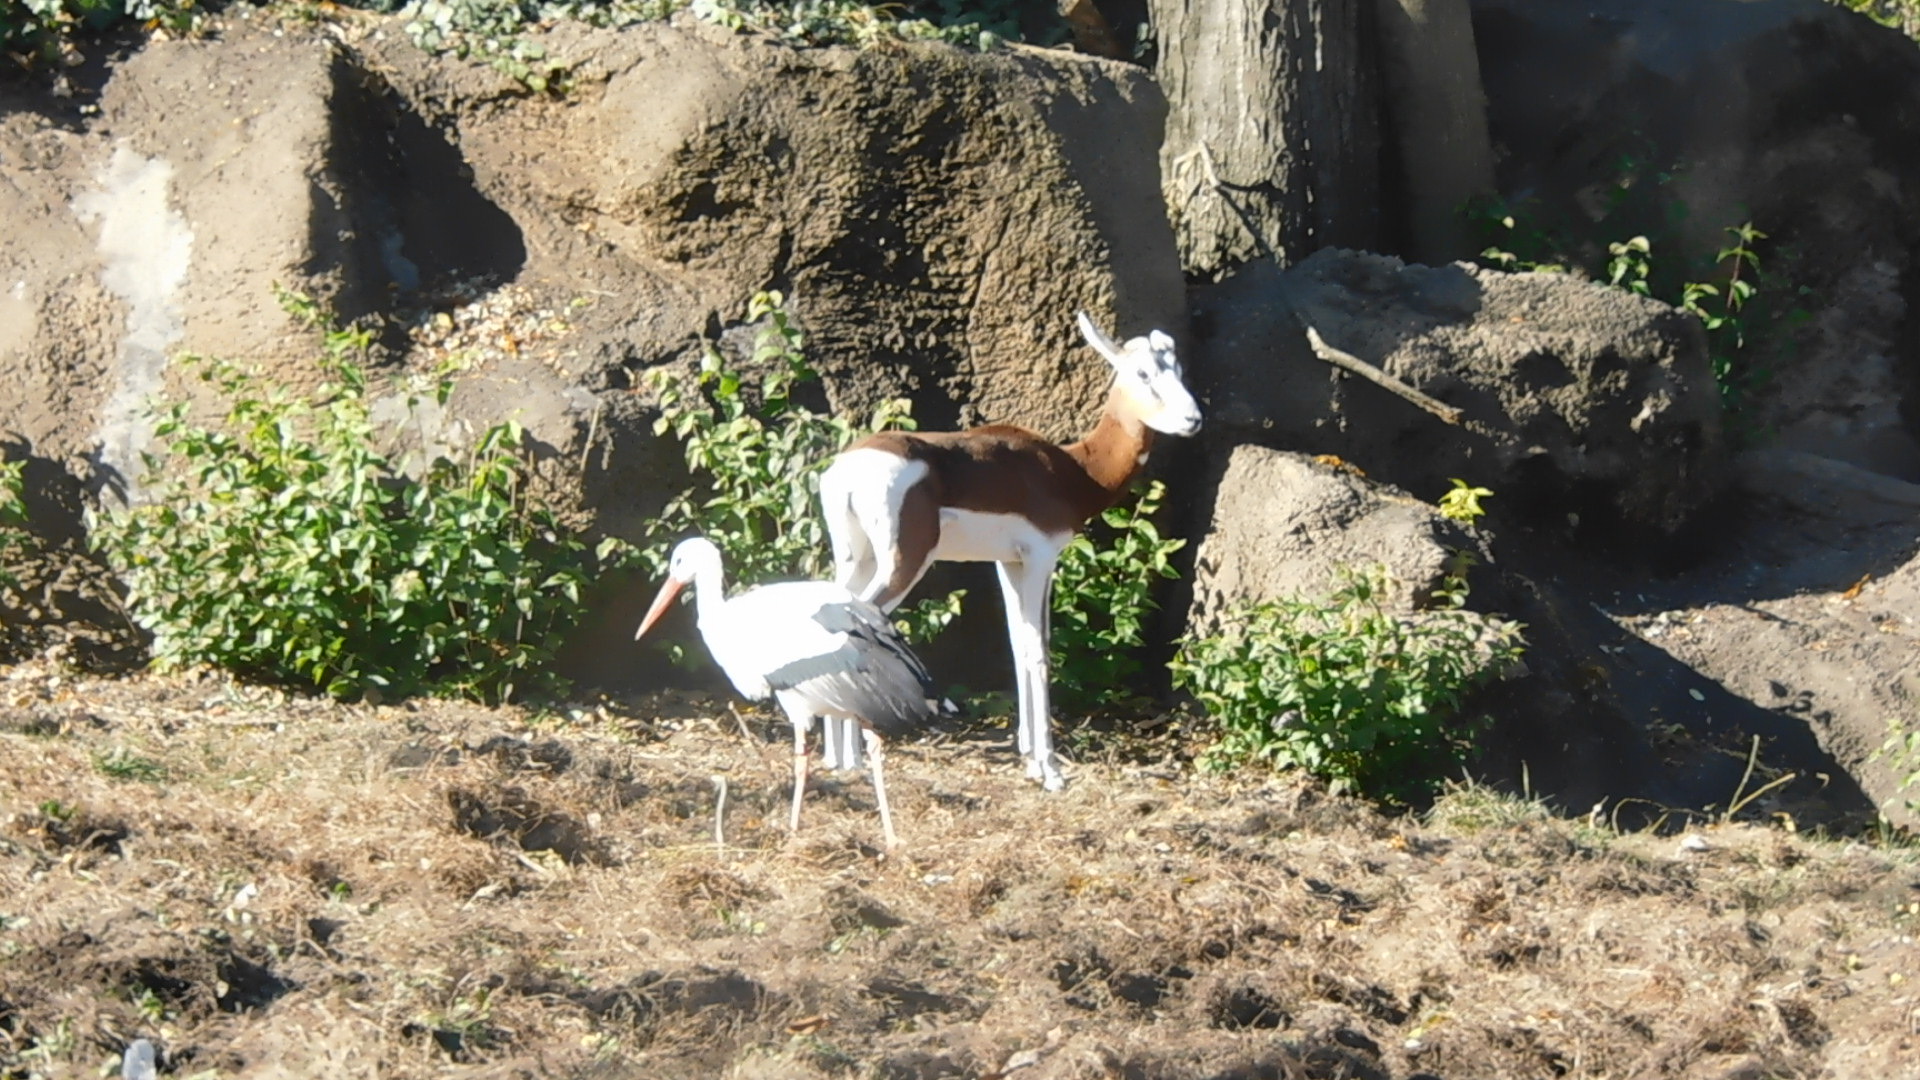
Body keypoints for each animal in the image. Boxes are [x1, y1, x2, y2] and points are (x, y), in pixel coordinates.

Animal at [815, 312, 1202, 790]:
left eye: (1178, 369)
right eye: (1144, 373)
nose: (1193, 419)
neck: (1072, 470)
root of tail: (847, 471)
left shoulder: (1008, 562)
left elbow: (1018, 645)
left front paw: (1030, 759)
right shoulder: (1040, 558)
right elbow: (1038, 651)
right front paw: (1051, 770)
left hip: (855, 558)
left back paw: (837, 757)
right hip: (903, 563)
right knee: (856, 627)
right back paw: (852, 756)